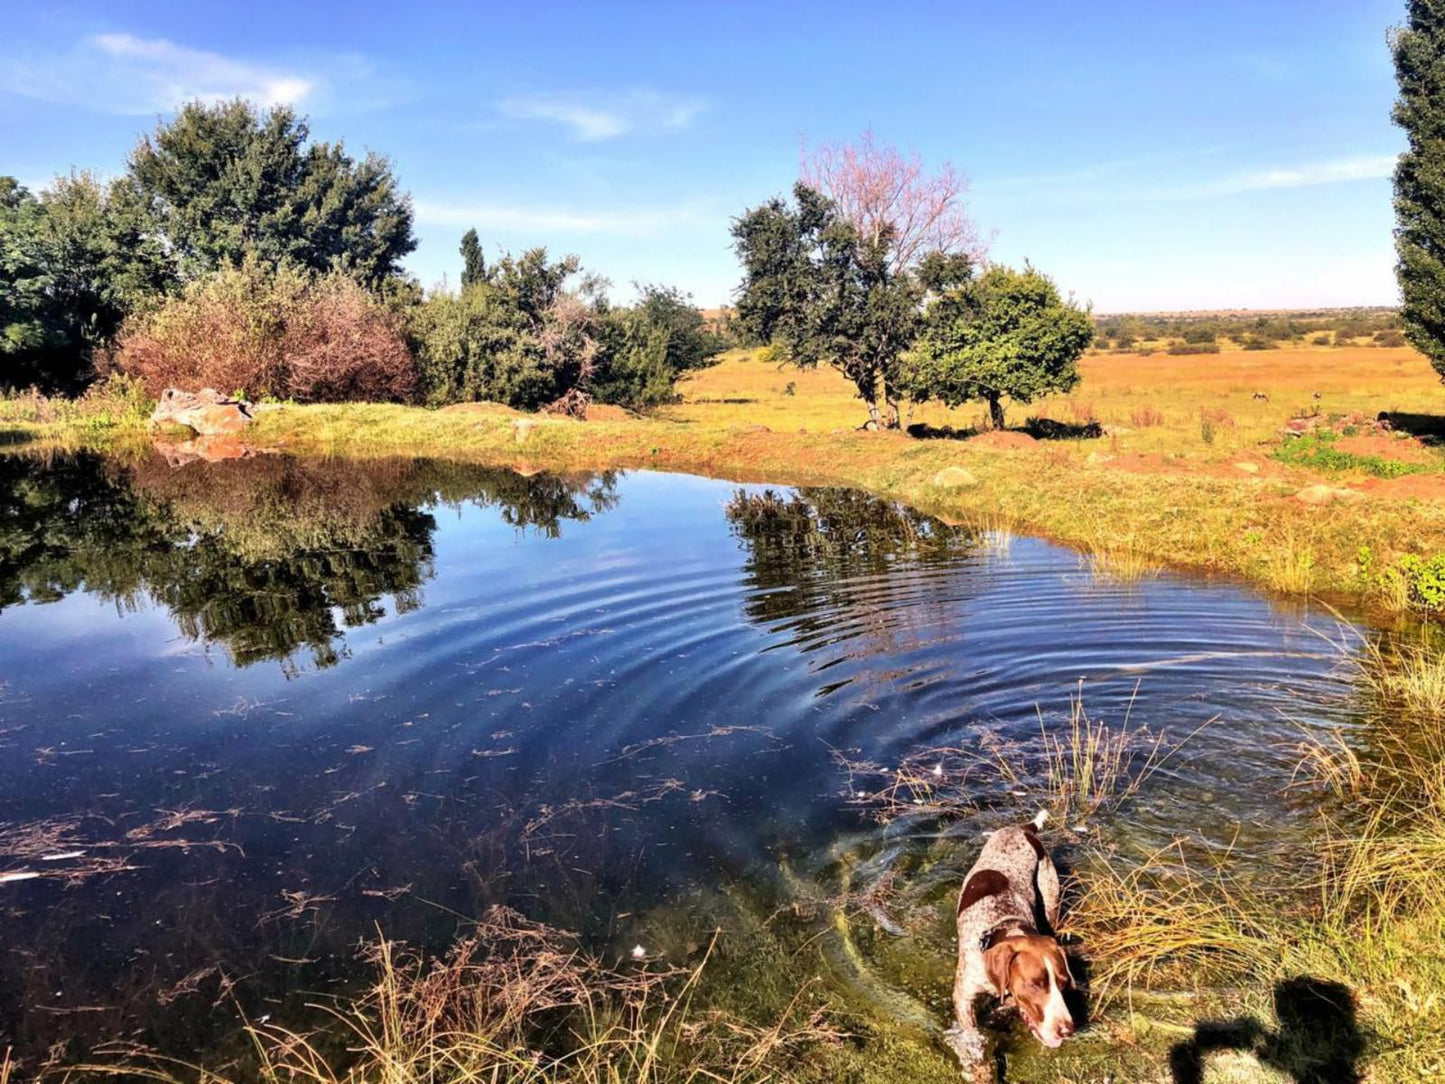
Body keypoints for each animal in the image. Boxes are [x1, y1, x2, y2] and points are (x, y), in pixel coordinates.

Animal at [947, 809, 1075, 1075]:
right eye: (1035, 984)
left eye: (1063, 983)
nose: (1067, 1030)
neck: (1004, 923)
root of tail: (1024, 829)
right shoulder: (963, 995)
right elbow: (973, 1036)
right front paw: (981, 1069)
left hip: (1050, 897)